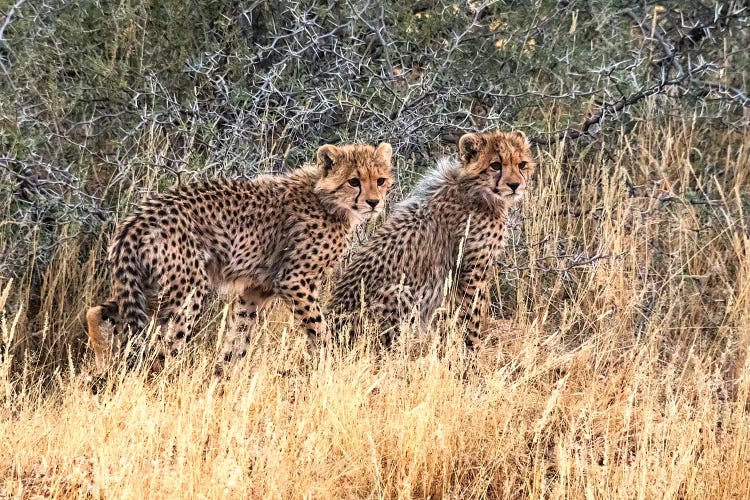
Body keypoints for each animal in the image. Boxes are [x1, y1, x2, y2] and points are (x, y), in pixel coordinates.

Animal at [86, 143, 394, 374]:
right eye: (354, 181)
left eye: (380, 181)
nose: (374, 202)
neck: (326, 200)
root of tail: (137, 218)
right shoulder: (295, 281)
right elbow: (319, 329)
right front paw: (332, 364)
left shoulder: (256, 290)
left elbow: (239, 337)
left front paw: (222, 377)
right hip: (189, 290)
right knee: (165, 349)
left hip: (150, 286)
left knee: (99, 310)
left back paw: (102, 361)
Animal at [328, 129, 536, 348]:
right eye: (495, 165)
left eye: (522, 164)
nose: (515, 185)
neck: (476, 191)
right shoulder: (470, 272)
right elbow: (471, 315)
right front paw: (471, 348)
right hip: (400, 292)